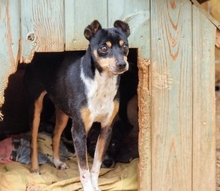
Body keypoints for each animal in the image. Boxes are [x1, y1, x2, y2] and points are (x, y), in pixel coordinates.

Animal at [24, 20, 131, 190]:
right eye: (103, 48)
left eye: (125, 46)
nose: (122, 64)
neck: (102, 85)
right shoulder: (79, 131)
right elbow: (84, 169)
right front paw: (88, 187)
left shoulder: (106, 129)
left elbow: (96, 165)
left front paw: (96, 186)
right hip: (36, 107)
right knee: (33, 140)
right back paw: (35, 169)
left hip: (63, 112)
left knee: (55, 134)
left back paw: (57, 162)